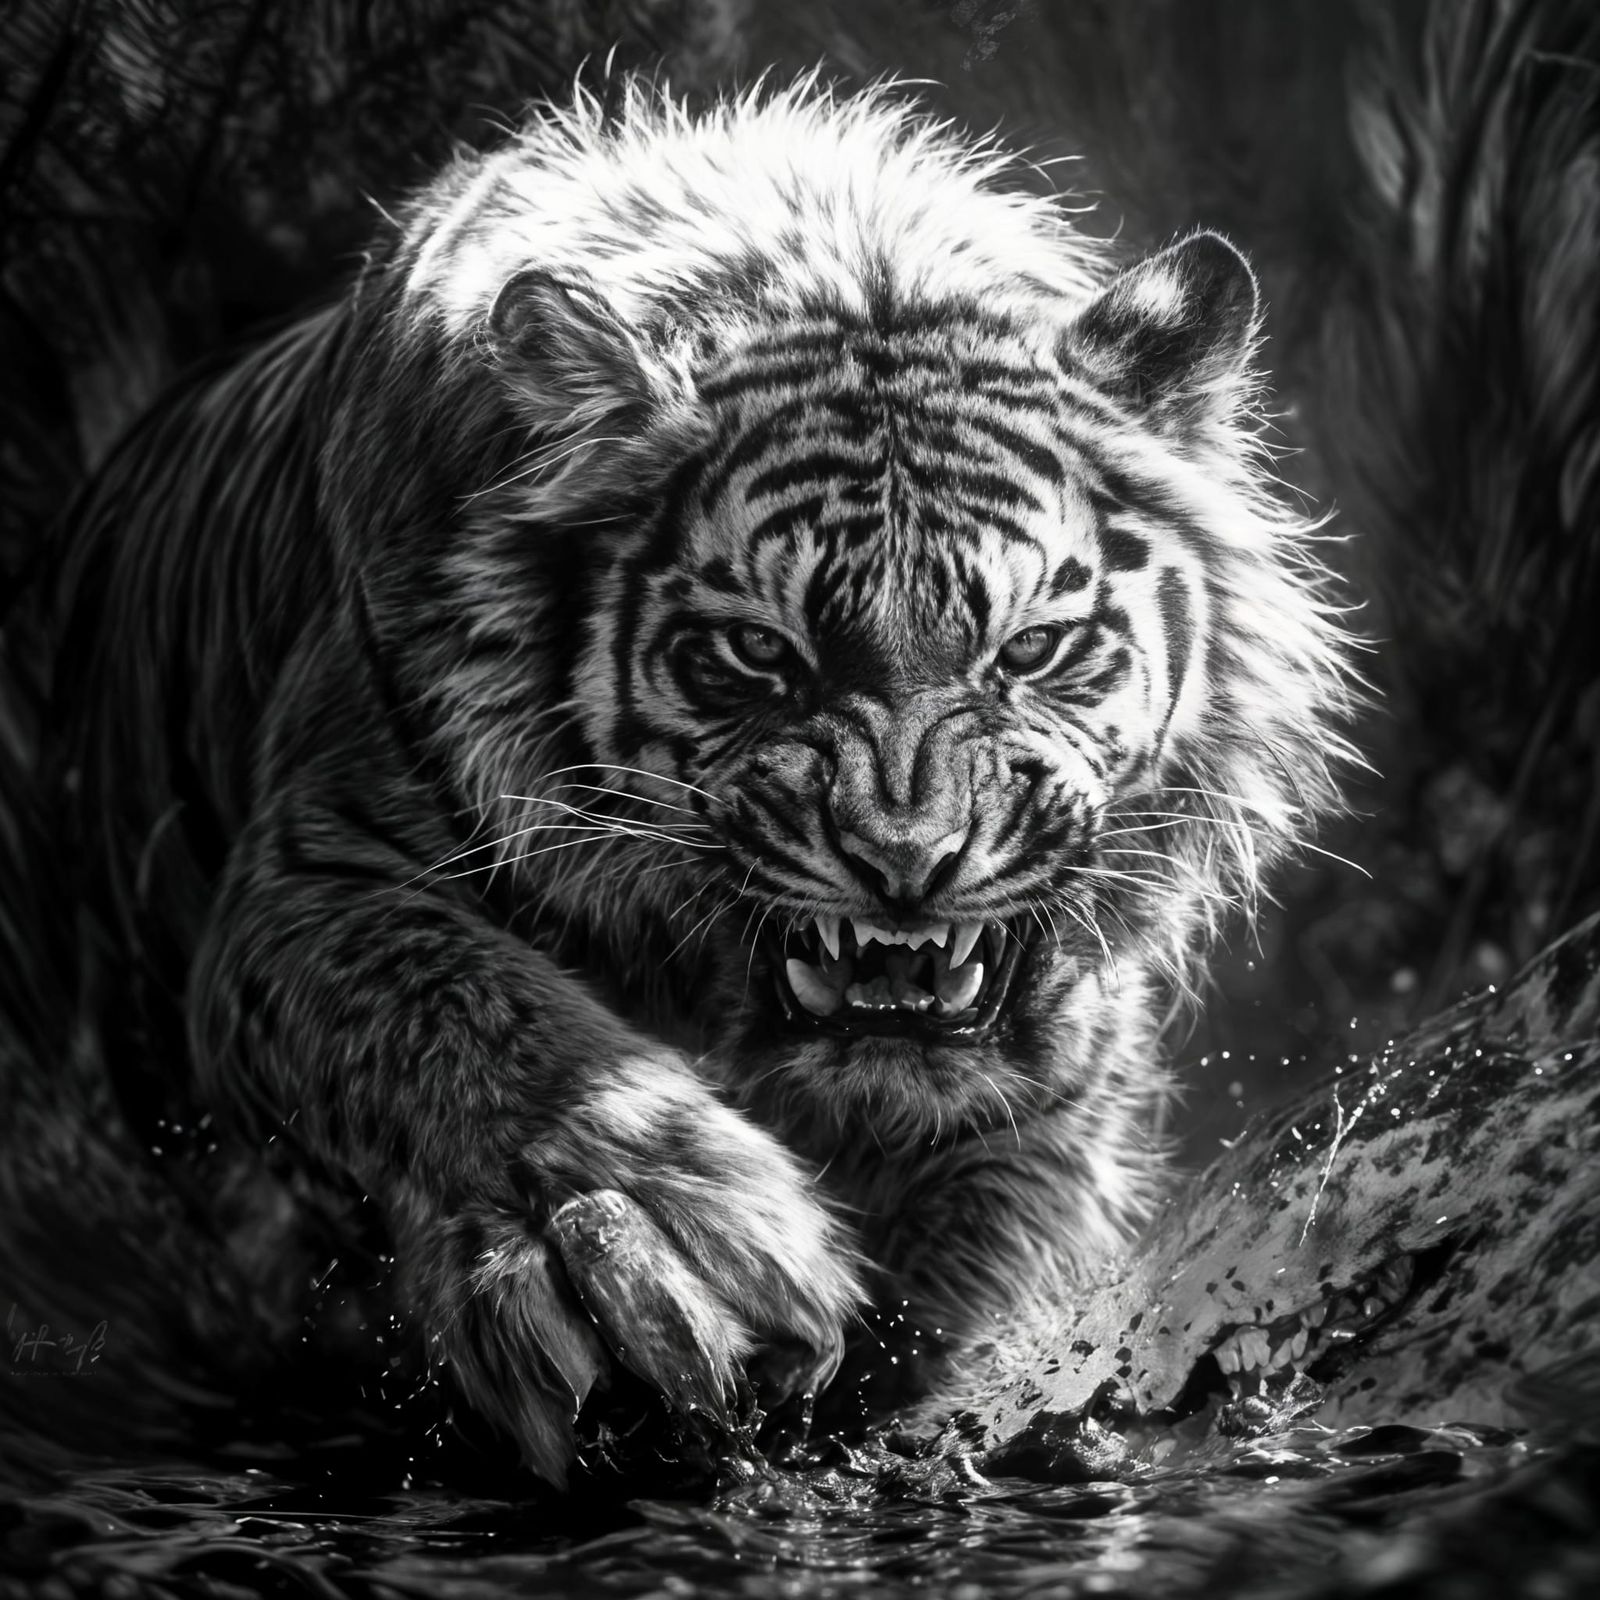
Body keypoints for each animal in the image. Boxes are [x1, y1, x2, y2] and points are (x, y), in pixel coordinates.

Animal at [38, 74, 1356, 1485]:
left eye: (1032, 649)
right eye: (757, 653)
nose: (906, 862)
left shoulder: (1056, 1080)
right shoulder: (315, 866)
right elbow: (462, 1009)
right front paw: (656, 1254)